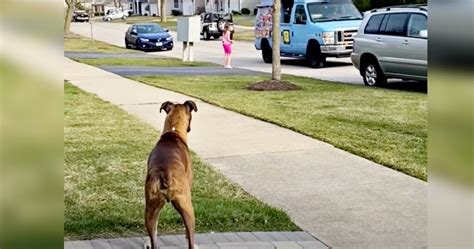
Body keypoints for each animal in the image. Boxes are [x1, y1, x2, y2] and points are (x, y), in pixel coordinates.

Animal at [144, 100, 196, 249]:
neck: (173, 132)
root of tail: (164, 173)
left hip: (150, 208)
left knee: (153, 233)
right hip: (187, 207)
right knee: (190, 239)